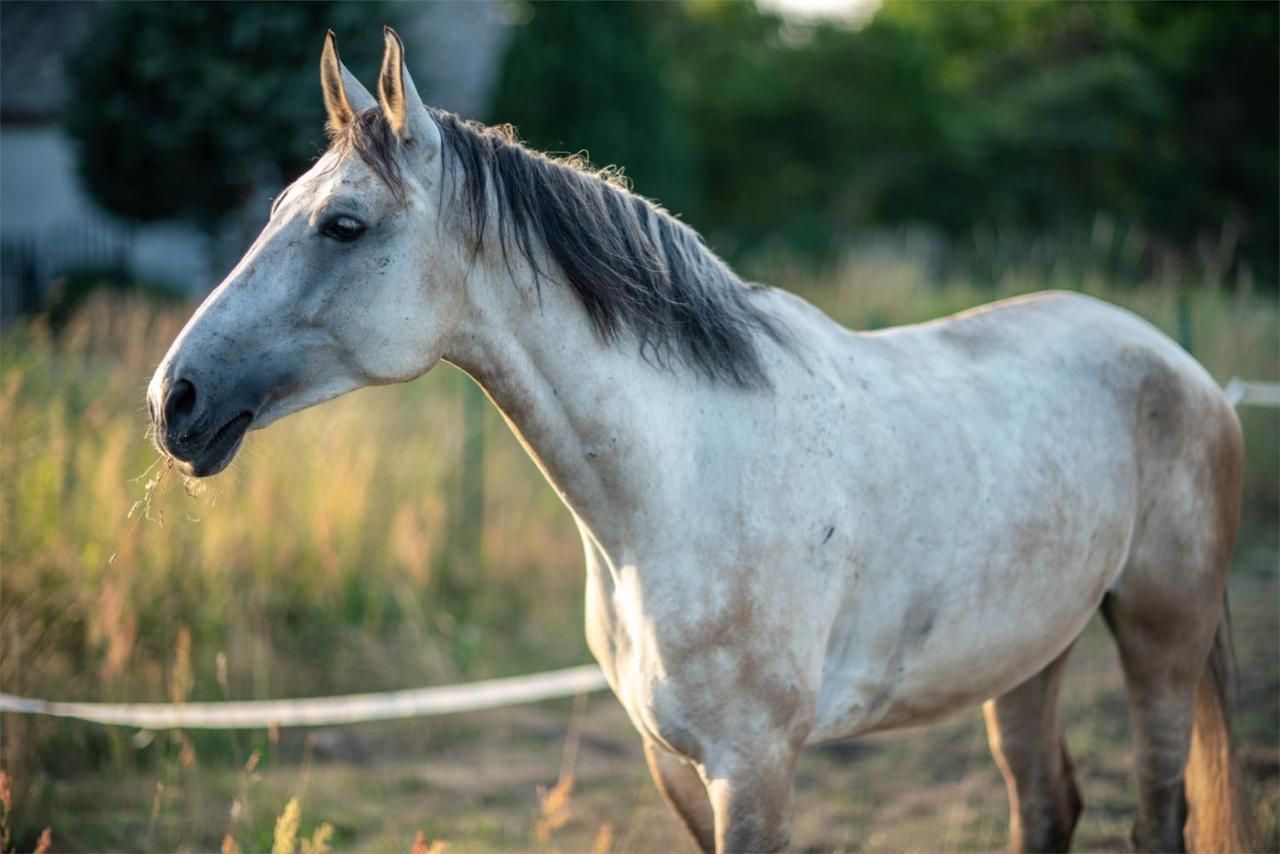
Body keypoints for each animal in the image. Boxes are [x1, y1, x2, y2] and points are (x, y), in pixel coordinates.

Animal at [147, 30, 1249, 850]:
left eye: (342, 224)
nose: (174, 399)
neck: (675, 486)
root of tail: (1188, 370)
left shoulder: (753, 767)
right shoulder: (672, 763)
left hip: (1158, 639)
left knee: (1157, 814)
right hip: (1026, 654)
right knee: (1045, 807)